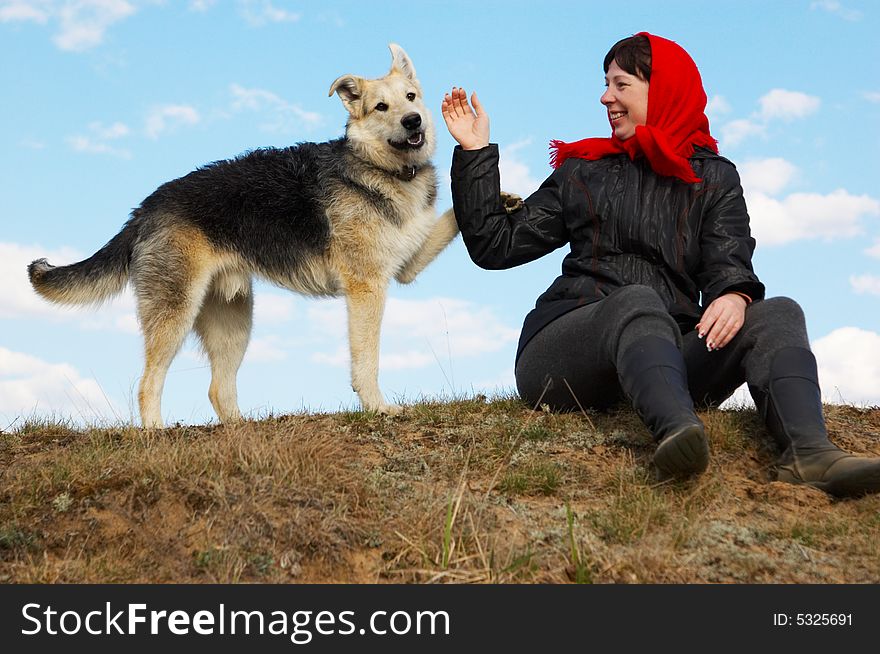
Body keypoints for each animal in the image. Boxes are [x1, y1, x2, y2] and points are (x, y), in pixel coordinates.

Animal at [27, 43, 460, 428]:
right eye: (381, 107)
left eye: (411, 97)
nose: (414, 121)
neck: (378, 166)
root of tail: (144, 209)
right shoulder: (366, 288)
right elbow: (367, 359)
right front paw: (377, 407)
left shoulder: (406, 267)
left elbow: (453, 216)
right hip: (175, 313)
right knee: (148, 383)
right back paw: (154, 433)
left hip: (233, 320)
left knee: (218, 389)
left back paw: (239, 428)